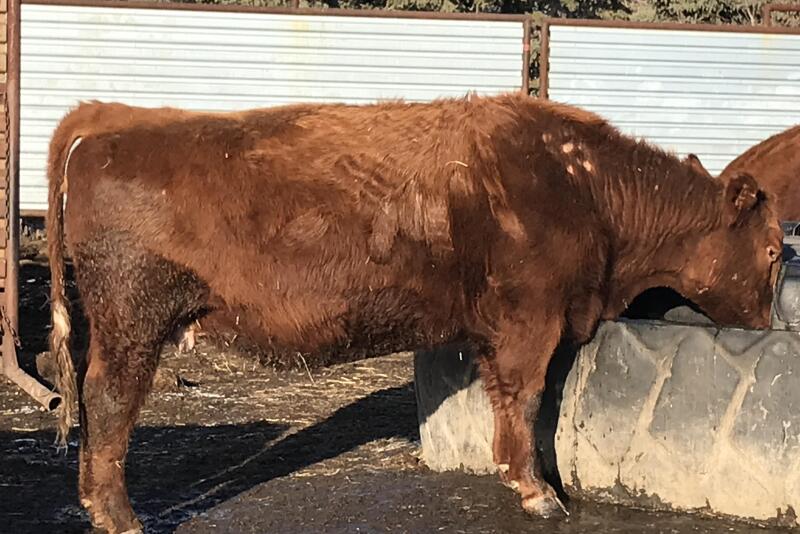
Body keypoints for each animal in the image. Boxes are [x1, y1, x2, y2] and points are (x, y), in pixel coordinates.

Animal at [47, 93, 783, 533]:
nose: (767, 327)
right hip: (132, 320)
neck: (585, 187)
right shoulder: (531, 319)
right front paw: (538, 491)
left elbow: (504, 398)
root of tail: (114, 117)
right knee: (108, 403)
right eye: (775, 250)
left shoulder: (496, 329)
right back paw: (119, 515)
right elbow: (525, 397)